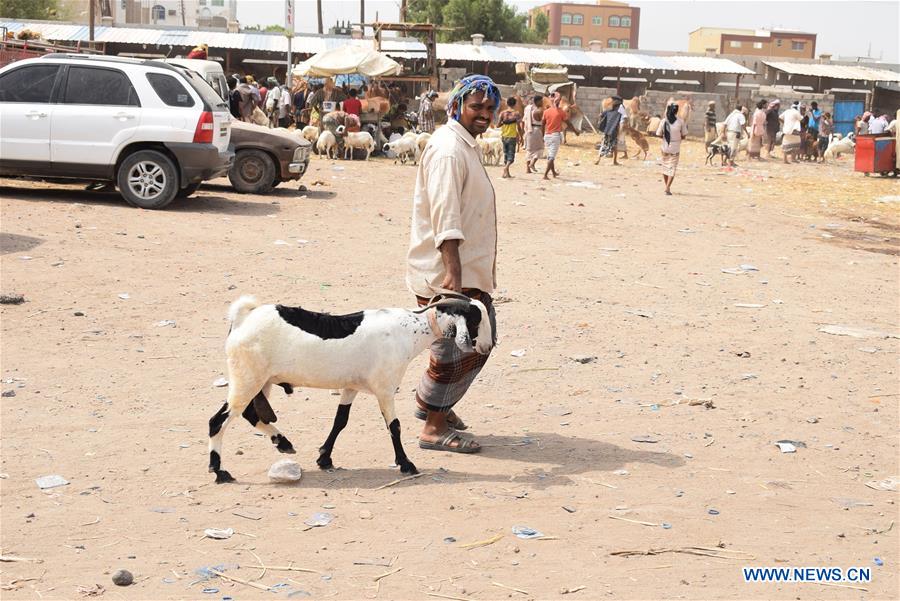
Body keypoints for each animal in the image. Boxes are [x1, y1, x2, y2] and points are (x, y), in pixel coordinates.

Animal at [207, 292, 496, 482]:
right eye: (476, 320)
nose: (487, 346)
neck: (411, 329)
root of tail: (243, 318)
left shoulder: (350, 387)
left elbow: (340, 421)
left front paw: (324, 458)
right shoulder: (385, 388)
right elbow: (394, 426)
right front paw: (406, 464)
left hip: (260, 381)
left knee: (250, 413)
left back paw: (283, 443)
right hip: (247, 378)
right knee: (218, 420)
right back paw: (220, 470)